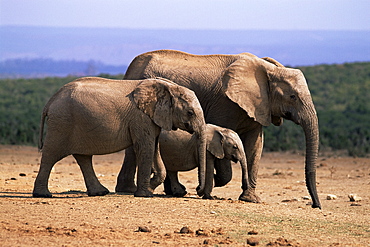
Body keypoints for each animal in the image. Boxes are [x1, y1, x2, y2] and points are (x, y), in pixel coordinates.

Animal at [33, 77, 207, 199]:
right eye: (190, 112)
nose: (198, 190)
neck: (169, 87)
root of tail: (50, 101)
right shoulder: (140, 118)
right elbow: (145, 147)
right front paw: (145, 194)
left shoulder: (152, 118)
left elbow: (154, 148)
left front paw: (150, 187)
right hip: (62, 123)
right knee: (51, 155)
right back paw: (43, 194)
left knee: (83, 157)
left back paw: (100, 192)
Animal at [116, 49, 320, 208]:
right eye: (293, 97)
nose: (315, 205)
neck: (268, 69)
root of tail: (130, 68)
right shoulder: (225, 103)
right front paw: (214, 178)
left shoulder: (259, 106)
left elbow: (255, 146)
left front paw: (251, 199)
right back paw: (129, 190)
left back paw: (171, 192)